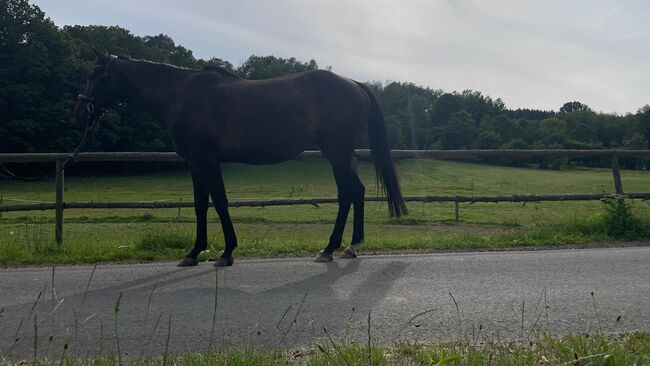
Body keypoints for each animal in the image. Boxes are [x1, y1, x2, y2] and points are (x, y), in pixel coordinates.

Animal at [74, 48, 404, 266]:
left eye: (93, 74)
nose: (80, 113)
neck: (182, 96)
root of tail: (353, 83)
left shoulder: (208, 161)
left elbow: (219, 203)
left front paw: (227, 252)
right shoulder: (195, 164)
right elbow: (200, 207)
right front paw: (194, 253)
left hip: (336, 154)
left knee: (347, 193)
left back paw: (330, 248)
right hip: (341, 155)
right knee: (357, 192)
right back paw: (351, 246)